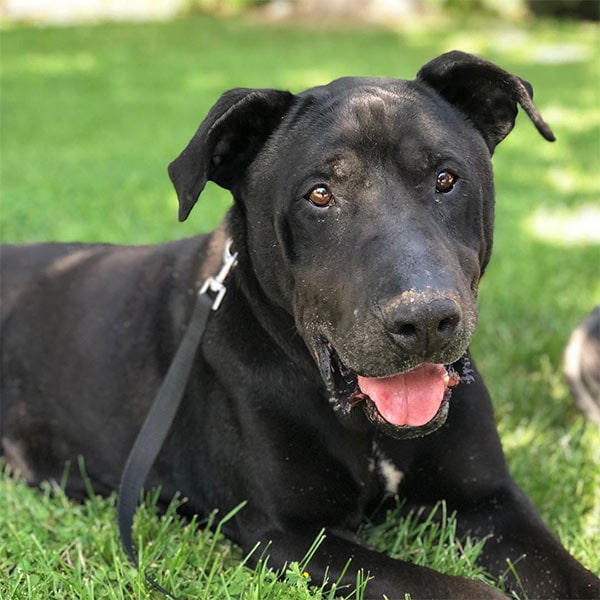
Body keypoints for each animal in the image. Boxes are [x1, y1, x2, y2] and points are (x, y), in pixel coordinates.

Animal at [1, 52, 600, 600]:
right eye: (319, 194)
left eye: (446, 179)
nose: (426, 318)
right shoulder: (289, 535)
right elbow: (461, 589)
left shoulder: (490, 500)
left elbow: (569, 573)